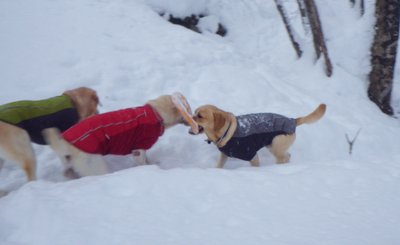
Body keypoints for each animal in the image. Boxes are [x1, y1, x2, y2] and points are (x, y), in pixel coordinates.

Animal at [44, 94, 191, 178]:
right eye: (188, 110)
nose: (193, 116)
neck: (156, 113)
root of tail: (65, 142)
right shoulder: (138, 150)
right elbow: (143, 161)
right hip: (95, 164)